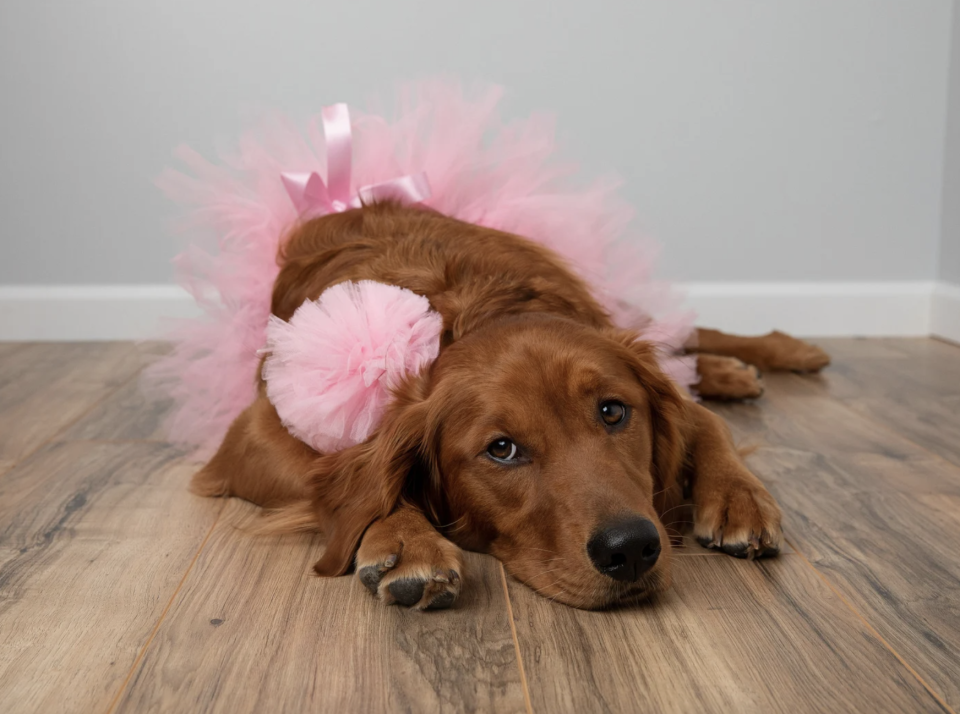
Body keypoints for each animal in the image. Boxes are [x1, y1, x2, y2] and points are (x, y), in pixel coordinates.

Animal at [193, 200, 824, 608]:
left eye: (613, 412)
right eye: (501, 450)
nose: (632, 550)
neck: (469, 312)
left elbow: (705, 421)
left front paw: (739, 496)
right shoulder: (252, 435)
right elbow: (351, 483)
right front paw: (404, 538)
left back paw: (771, 354)